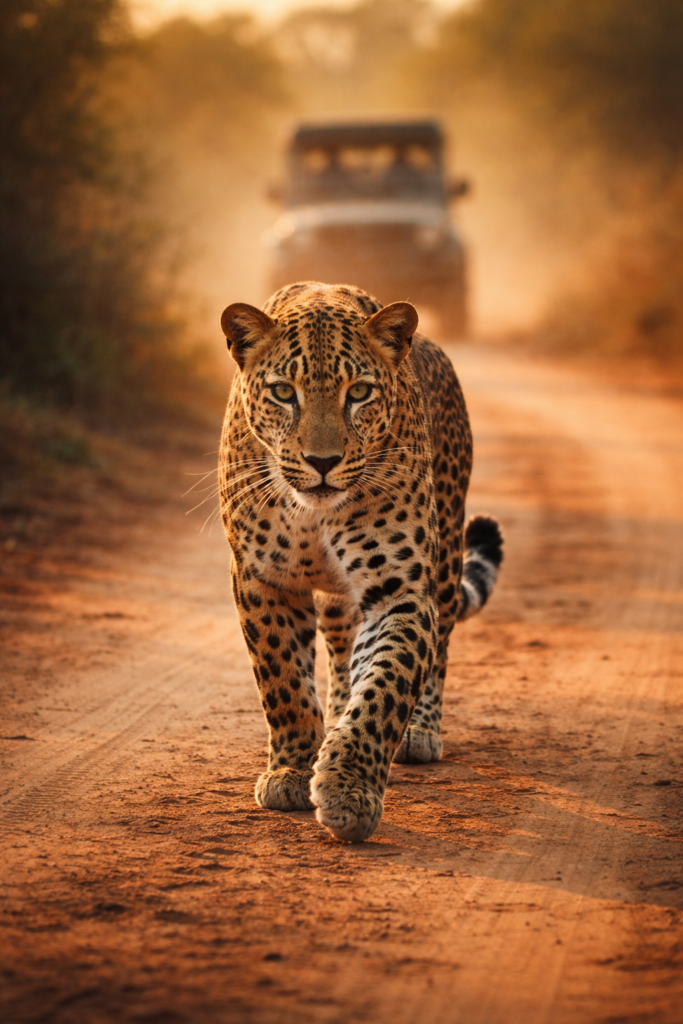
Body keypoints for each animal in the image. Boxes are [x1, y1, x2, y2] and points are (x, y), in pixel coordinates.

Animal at [218, 281, 503, 843]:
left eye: (360, 393)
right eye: (284, 392)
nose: (322, 462)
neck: (311, 514)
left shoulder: (399, 588)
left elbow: (386, 687)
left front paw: (349, 790)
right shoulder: (262, 580)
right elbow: (283, 681)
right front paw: (292, 768)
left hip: (445, 561)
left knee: (437, 651)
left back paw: (420, 731)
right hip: (335, 601)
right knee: (338, 651)